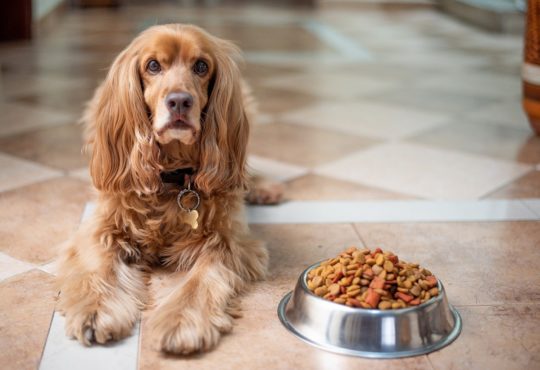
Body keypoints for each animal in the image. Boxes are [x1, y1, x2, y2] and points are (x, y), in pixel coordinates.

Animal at [56, 24, 280, 354]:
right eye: (153, 66)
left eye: (201, 66)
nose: (179, 102)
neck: (172, 178)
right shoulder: (101, 228)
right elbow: (101, 267)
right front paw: (96, 311)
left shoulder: (229, 242)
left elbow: (200, 281)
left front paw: (182, 322)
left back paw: (263, 187)